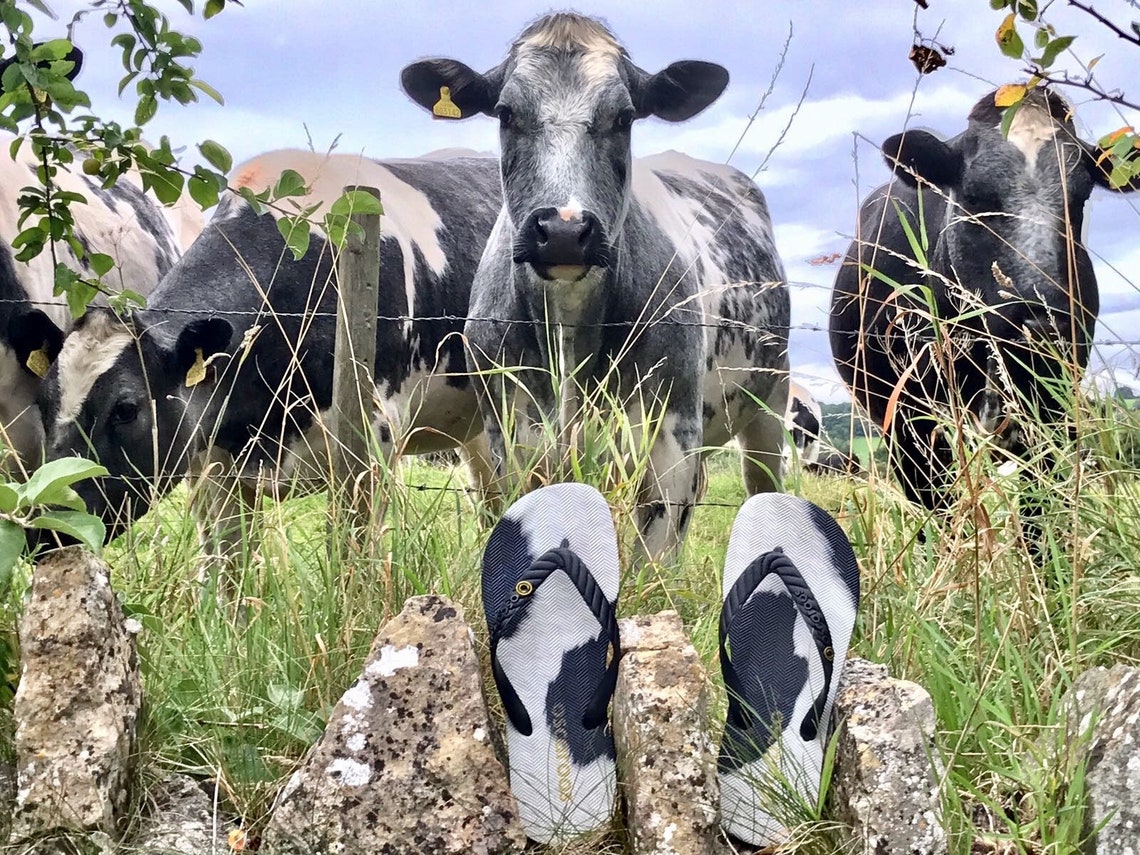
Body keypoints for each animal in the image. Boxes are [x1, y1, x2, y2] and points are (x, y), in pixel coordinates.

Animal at [35, 149, 501, 562]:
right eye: (43, 402)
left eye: (126, 409)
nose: (46, 527)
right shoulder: (213, 461)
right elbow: (228, 569)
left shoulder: (372, 446)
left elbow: (353, 555)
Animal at [400, 12, 790, 560]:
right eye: (505, 113)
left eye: (624, 117)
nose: (564, 230)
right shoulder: (509, 431)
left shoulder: (671, 430)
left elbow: (655, 554)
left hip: (770, 406)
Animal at [830, 87, 1138, 527]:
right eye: (974, 197)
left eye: (1079, 197)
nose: (1041, 323)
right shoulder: (909, 424)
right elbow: (936, 513)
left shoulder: (1052, 404)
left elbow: (1041, 511)